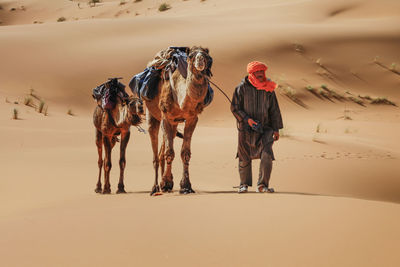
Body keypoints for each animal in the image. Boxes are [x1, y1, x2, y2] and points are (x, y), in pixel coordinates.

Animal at [145, 46, 214, 196]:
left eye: (207, 56)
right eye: (191, 56)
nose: (200, 60)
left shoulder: (192, 118)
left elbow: (185, 153)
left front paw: (185, 186)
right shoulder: (166, 117)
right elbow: (169, 153)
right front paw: (165, 184)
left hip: (175, 123)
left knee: (162, 151)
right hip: (152, 114)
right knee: (156, 154)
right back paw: (155, 187)